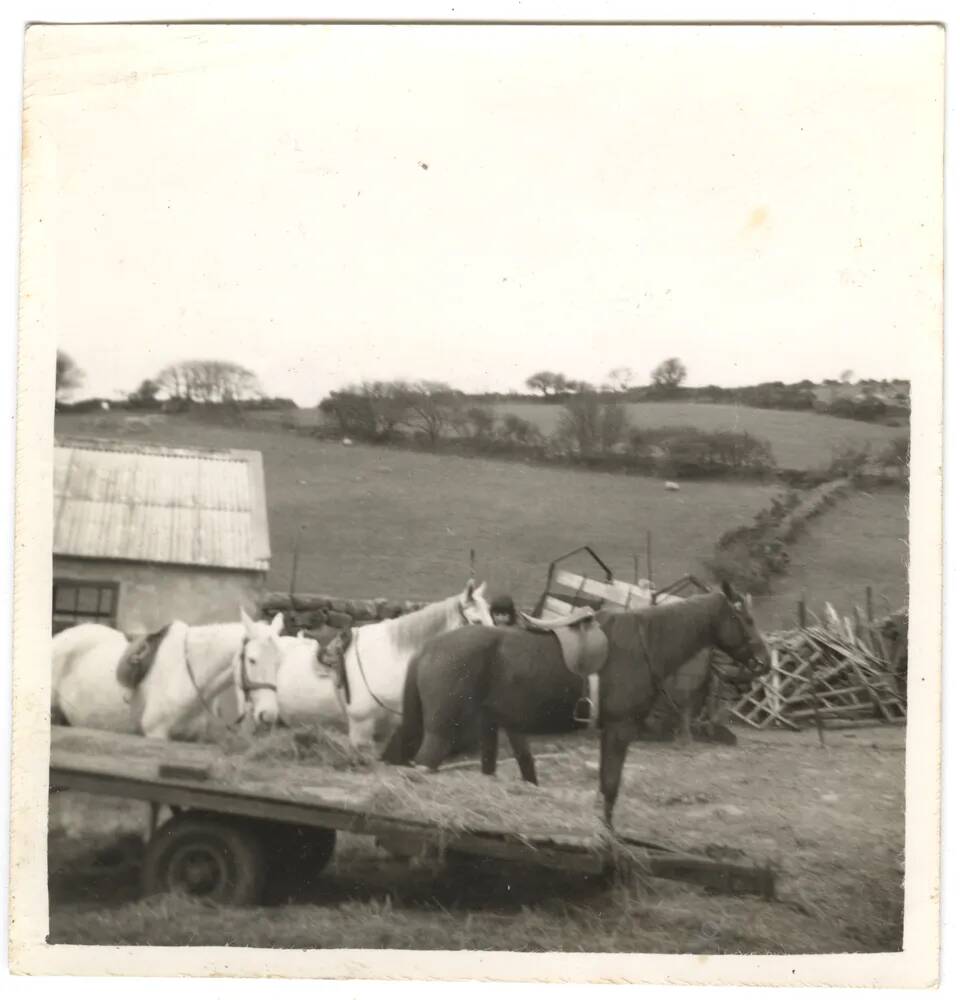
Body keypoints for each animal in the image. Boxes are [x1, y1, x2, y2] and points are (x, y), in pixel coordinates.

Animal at [382, 584, 764, 824]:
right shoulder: (620, 729)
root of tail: (429, 648)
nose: (763, 660)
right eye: (744, 619)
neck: (644, 643)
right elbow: (610, 788)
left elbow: (605, 788)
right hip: (441, 733)